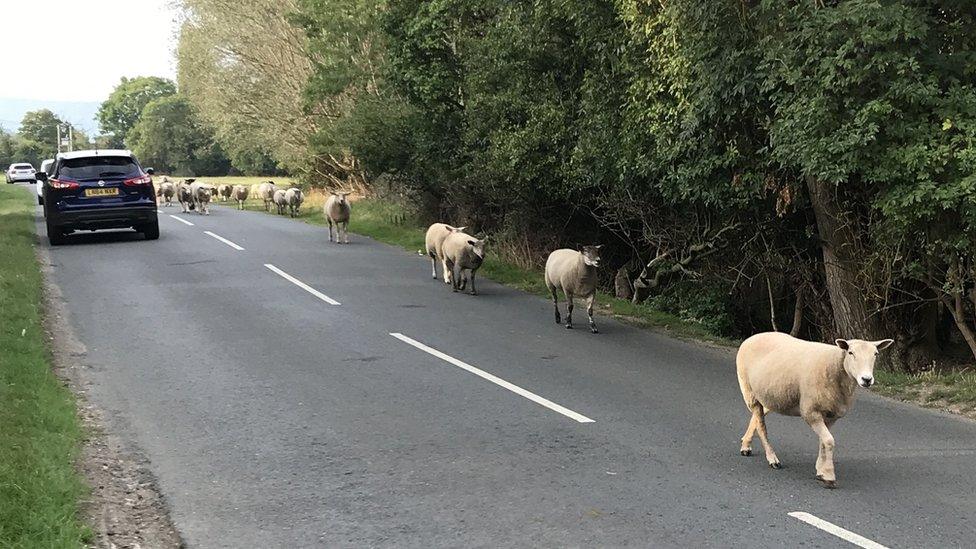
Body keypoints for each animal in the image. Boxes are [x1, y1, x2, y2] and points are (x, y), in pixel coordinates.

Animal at [736, 332, 896, 486]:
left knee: (758, 416)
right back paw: (772, 458)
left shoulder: (831, 415)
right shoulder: (811, 412)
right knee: (761, 425)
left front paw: (821, 470)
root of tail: (752, 337)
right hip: (748, 390)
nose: (867, 379)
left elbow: (823, 442)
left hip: (771, 396)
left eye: (875, 354)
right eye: (850, 352)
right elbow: (829, 441)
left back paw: (746, 444)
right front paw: (829, 476)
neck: (835, 366)